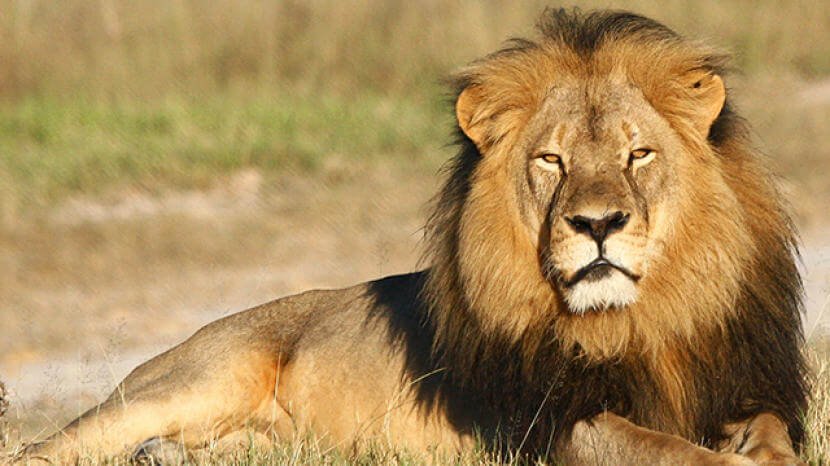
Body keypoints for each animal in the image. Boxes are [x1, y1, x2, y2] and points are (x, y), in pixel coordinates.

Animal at [20, 9, 808, 465]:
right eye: (550, 161)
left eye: (637, 154)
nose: (597, 225)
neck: (640, 321)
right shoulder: (545, 425)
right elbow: (659, 446)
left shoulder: (743, 385)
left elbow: (766, 431)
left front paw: (769, 456)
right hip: (196, 380)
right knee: (46, 446)